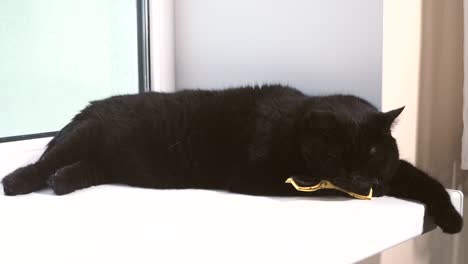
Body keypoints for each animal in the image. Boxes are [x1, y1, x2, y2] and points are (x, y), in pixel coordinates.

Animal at [0, 85, 460, 233]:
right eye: (335, 153)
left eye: (372, 151)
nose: (361, 177)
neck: (294, 128)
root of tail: (89, 107)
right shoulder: (262, 177)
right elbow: (320, 187)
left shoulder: (396, 172)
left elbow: (425, 179)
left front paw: (453, 220)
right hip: (84, 138)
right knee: (42, 163)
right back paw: (18, 181)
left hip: (99, 162)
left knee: (70, 171)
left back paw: (62, 182)